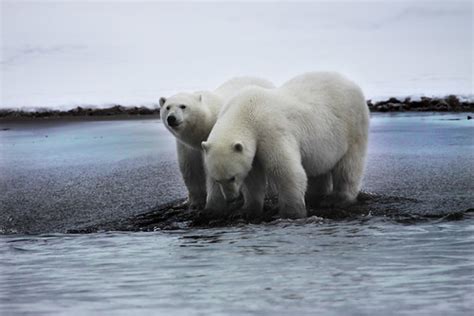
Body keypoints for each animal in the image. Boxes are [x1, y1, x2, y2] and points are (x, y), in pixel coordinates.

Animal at [159, 77, 274, 210]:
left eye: (183, 106)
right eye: (167, 107)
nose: (171, 118)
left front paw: (213, 203)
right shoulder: (188, 146)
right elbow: (190, 167)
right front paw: (194, 202)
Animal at [200, 72, 370, 218]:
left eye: (232, 178)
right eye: (217, 180)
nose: (231, 198)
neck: (245, 111)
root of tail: (350, 82)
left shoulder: (270, 130)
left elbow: (284, 169)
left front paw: (291, 212)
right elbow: (253, 177)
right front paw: (248, 210)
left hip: (352, 125)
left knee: (348, 165)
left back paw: (337, 199)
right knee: (319, 167)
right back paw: (315, 196)